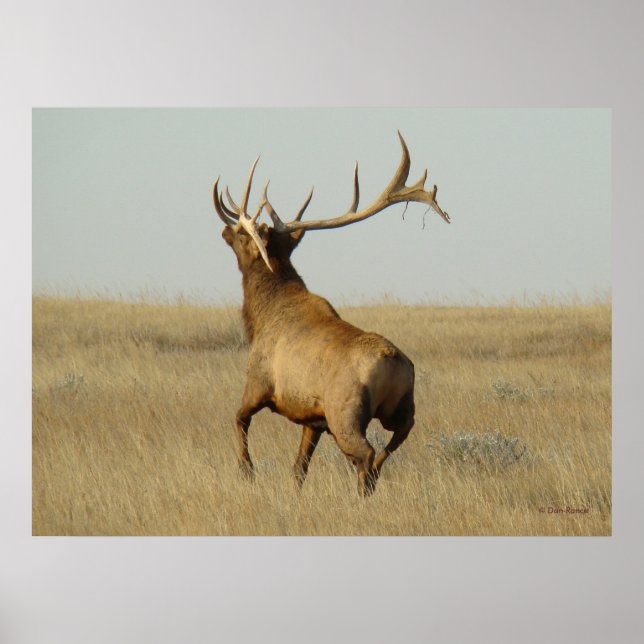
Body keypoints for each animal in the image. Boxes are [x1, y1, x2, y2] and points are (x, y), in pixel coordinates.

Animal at [213, 132, 450, 496]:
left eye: (242, 233)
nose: (225, 229)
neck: (259, 317)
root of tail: (394, 365)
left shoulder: (259, 383)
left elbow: (239, 419)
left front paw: (247, 471)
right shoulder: (314, 419)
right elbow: (298, 468)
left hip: (346, 413)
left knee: (365, 454)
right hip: (400, 408)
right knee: (392, 444)